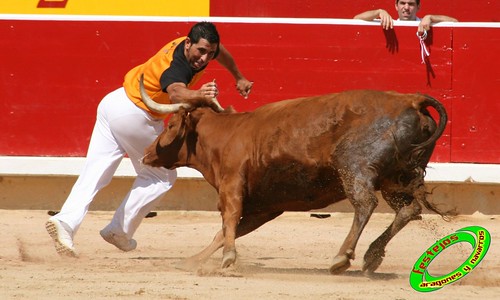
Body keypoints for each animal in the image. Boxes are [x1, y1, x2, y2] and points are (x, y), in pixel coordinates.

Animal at [140, 78, 450, 276]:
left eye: (170, 125)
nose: (146, 154)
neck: (226, 135)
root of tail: (411, 99)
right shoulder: (265, 206)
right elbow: (229, 230)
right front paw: (192, 261)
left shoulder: (231, 186)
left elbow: (229, 219)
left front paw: (228, 259)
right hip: (396, 178)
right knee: (408, 209)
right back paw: (371, 256)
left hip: (354, 167)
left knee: (365, 204)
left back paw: (341, 257)